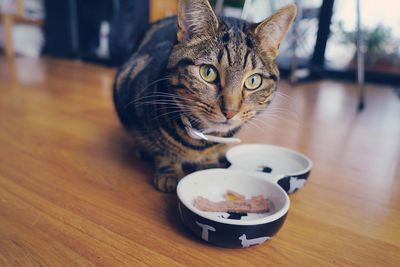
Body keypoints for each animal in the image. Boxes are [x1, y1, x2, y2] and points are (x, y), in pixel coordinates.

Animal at [114, 0, 296, 193]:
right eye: (208, 72)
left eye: (253, 81)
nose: (230, 112)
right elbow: (162, 150)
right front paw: (169, 169)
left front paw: (209, 164)